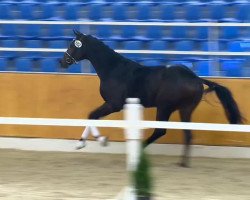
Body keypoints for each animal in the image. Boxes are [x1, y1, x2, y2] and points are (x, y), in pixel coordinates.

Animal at [59, 30, 243, 167]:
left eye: (73, 45)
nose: (62, 61)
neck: (114, 70)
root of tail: (196, 78)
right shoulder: (113, 105)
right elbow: (93, 117)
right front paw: (81, 143)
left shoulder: (113, 104)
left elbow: (92, 115)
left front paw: (99, 141)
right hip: (185, 109)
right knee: (187, 134)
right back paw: (182, 163)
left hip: (165, 107)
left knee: (160, 131)